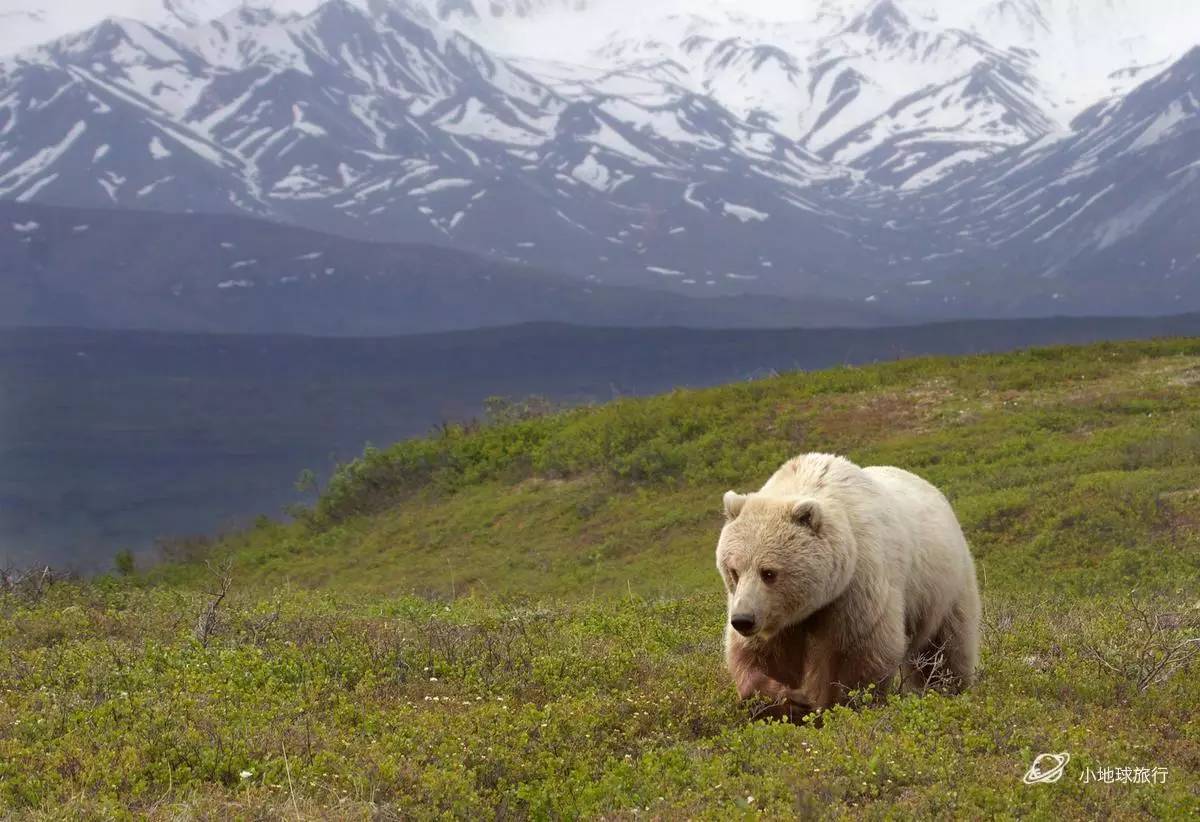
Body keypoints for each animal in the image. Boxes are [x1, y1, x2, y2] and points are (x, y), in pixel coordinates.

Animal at [715, 451, 979, 715]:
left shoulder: (857, 584)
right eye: (734, 571)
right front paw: (788, 699)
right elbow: (761, 656)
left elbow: (860, 653)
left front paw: (832, 704)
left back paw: (949, 689)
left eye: (769, 573)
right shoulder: (776, 616)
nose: (743, 620)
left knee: (945, 649)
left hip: (943, 587)